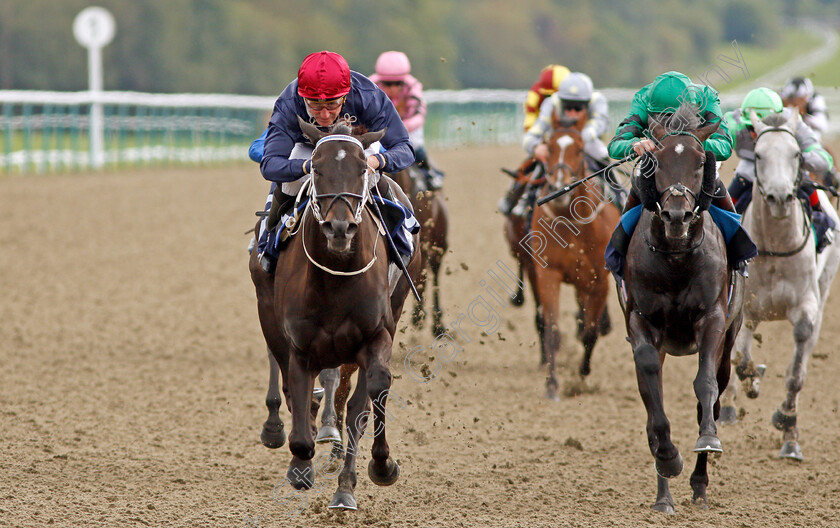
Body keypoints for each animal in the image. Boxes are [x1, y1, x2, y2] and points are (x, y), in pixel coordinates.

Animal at [248, 118, 420, 512]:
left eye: (361, 170)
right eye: (317, 168)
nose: (339, 228)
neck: (336, 276)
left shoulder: (376, 335)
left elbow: (371, 395)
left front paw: (373, 470)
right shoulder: (300, 344)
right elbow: (297, 394)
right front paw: (301, 462)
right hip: (267, 310)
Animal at [392, 167, 450, 336]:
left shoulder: (421, 246)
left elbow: (420, 279)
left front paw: (418, 316)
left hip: (439, 242)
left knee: (434, 272)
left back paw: (437, 323)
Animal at [516, 121, 620, 398]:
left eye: (580, 149)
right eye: (549, 147)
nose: (558, 187)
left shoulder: (599, 280)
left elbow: (590, 333)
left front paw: (582, 376)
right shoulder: (547, 273)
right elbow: (553, 331)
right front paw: (552, 384)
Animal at [620, 113, 744, 512]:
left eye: (699, 162)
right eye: (655, 162)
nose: (677, 215)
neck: (675, 261)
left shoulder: (713, 319)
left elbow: (704, 387)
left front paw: (707, 440)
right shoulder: (641, 323)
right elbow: (653, 403)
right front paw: (668, 458)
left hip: (730, 340)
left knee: (714, 398)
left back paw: (700, 485)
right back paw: (664, 495)